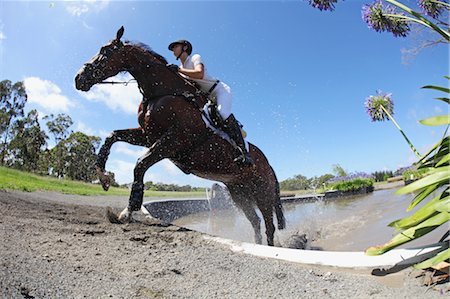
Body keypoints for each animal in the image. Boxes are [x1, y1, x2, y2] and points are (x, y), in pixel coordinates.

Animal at [74, 26, 284, 246]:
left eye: (104, 51)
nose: (78, 79)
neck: (163, 92)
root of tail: (268, 164)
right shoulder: (148, 136)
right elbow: (112, 136)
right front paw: (103, 177)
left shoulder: (174, 140)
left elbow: (140, 164)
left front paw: (127, 212)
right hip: (239, 193)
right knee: (255, 221)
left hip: (262, 193)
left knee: (269, 225)